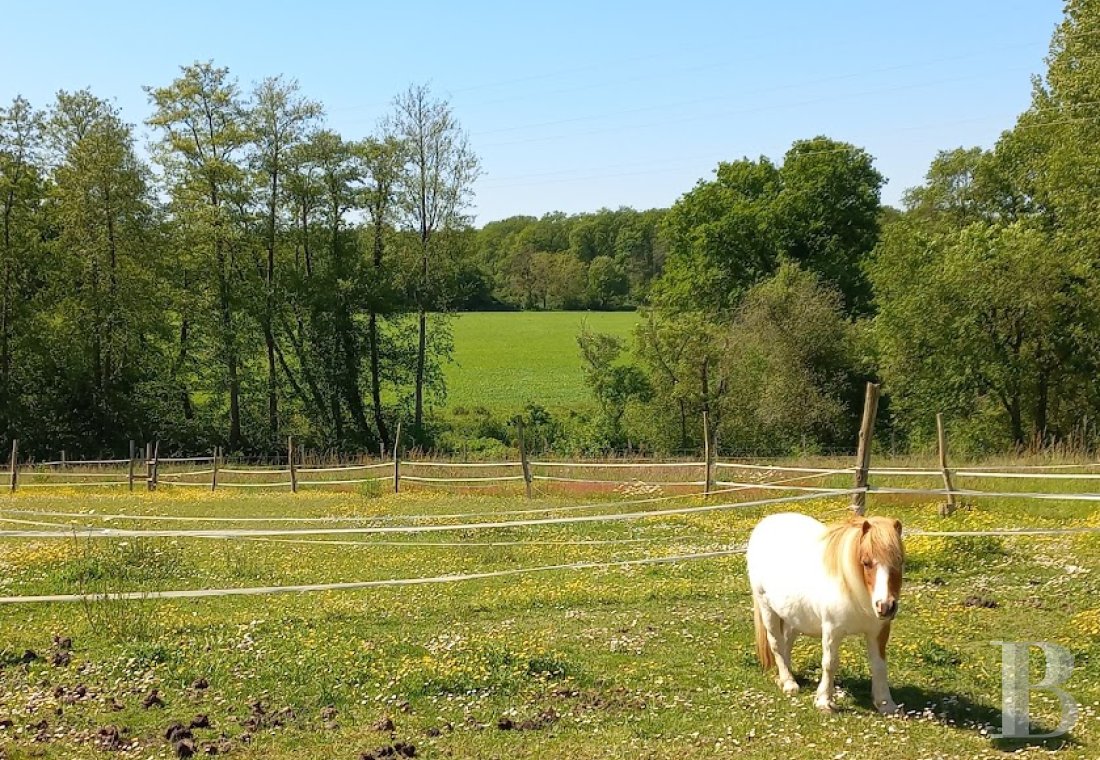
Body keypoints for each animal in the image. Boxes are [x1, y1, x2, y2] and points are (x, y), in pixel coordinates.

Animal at [748, 510, 902, 712]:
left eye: (899, 561)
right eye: (866, 562)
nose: (885, 606)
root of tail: (767, 522)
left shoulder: (878, 631)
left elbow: (879, 665)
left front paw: (886, 704)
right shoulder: (832, 630)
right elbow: (830, 663)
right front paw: (824, 702)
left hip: (793, 615)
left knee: (786, 641)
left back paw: (785, 677)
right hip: (767, 609)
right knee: (776, 644)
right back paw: (789, 683)